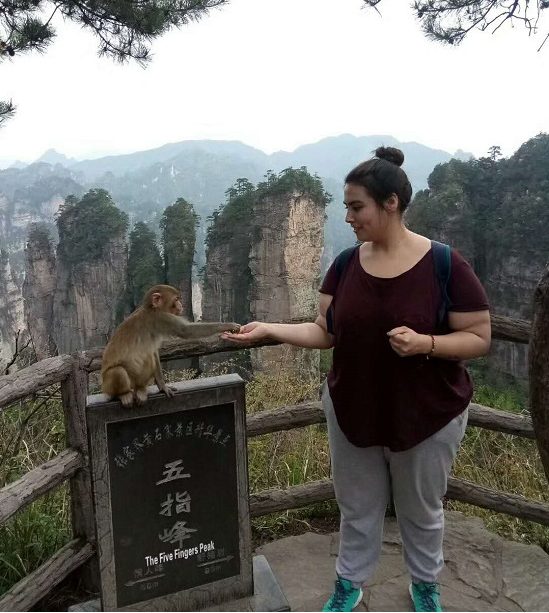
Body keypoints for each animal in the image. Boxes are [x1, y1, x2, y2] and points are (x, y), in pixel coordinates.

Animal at [101, 284, 239, 406]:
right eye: (176, 299)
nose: (181, 305)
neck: (151, 308)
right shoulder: (162, 317)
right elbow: (186, 330)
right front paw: (228, 325)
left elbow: (154, 352)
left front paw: (163, 386)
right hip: (108, 385)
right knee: (117, 371)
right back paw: (123, 394)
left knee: (148, 359)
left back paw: (140, 390)